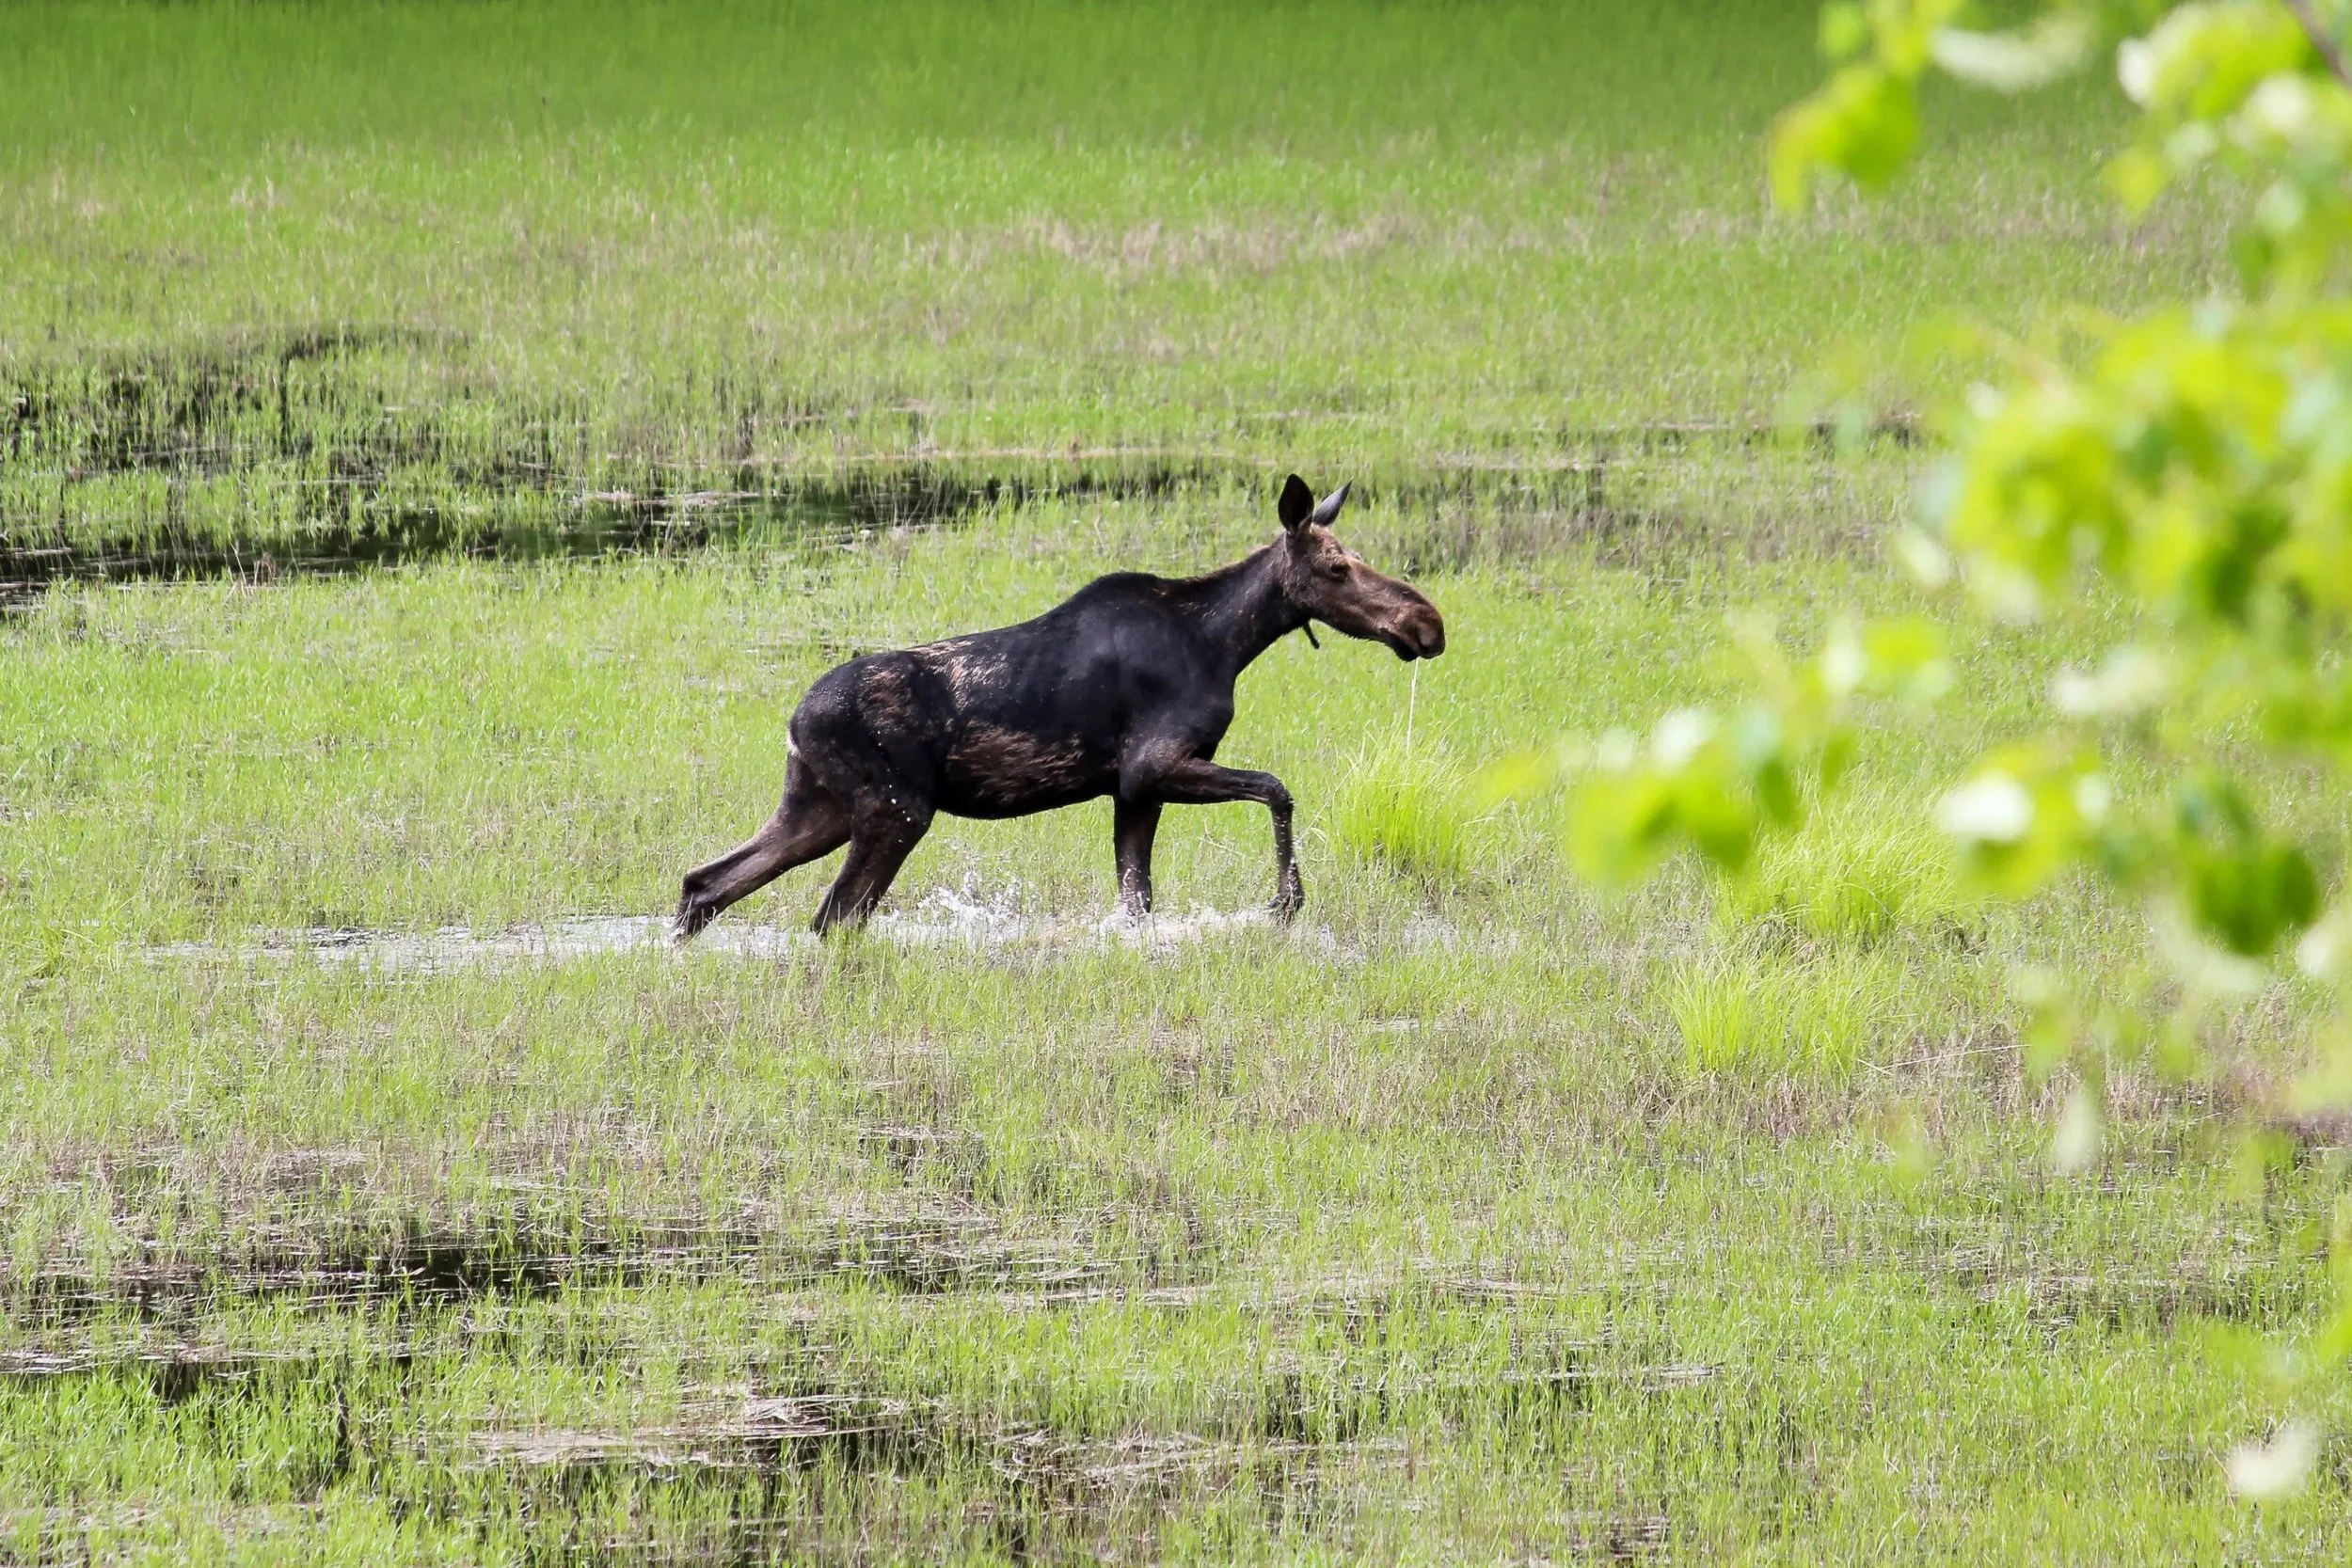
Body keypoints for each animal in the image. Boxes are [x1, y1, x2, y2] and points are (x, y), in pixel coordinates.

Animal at [674, 474, 1446, 937]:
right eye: (1338, 566)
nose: (1427, 622)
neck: (1225, 643)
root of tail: (794, 721)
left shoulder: (1133, 790)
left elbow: (1136, 901)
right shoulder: (1152, 766)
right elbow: (1278, 788)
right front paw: (1286, 901)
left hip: (819, 806)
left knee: (707, 881)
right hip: (895, 808)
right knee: (832, 915)